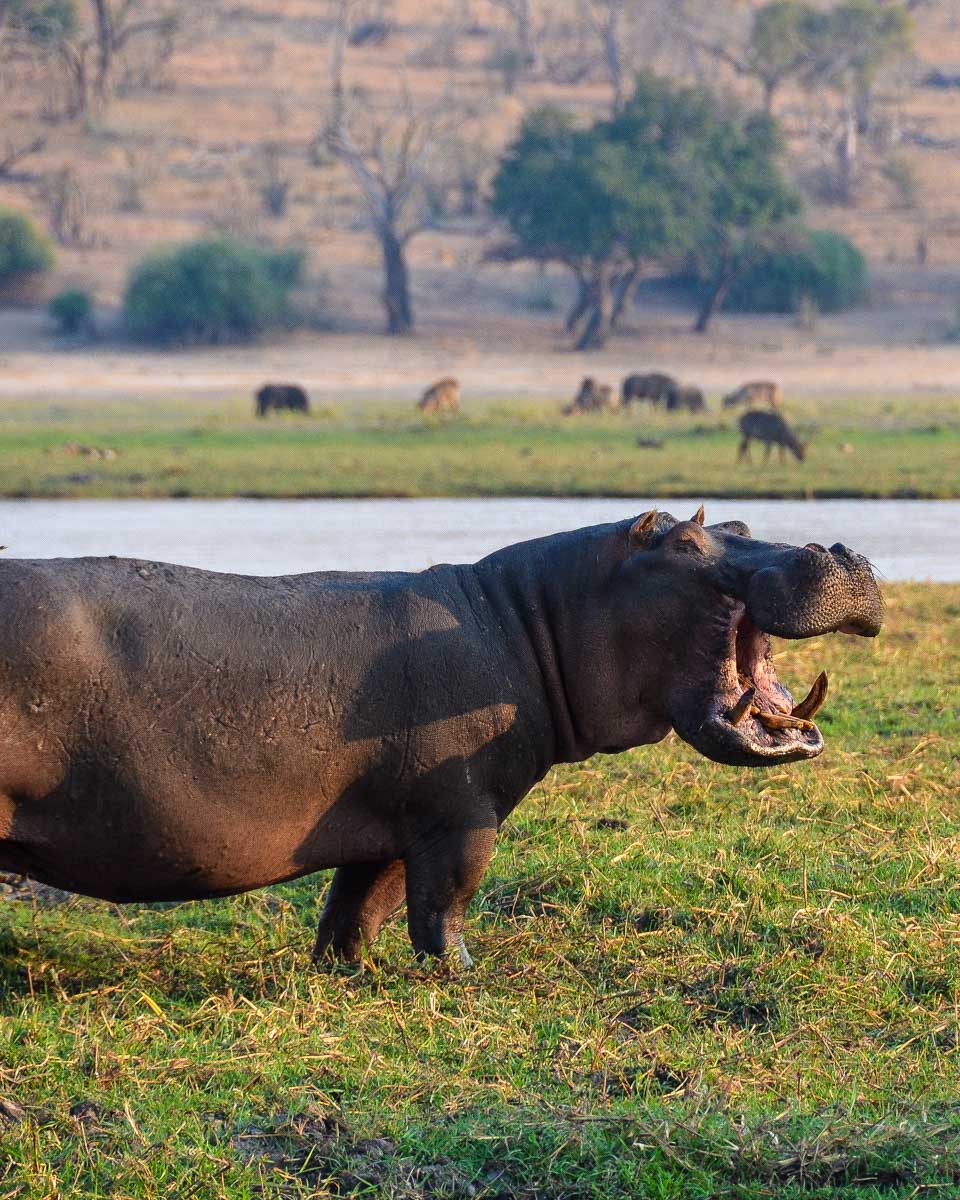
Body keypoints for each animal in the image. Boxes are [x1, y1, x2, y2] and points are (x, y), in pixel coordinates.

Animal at [0, 510, 881, 967]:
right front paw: (460, 977)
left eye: (737, 519)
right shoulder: (460, 816)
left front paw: (347, 975)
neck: (527, 616)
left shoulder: (388, 822)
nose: (838, 548)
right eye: (685, 539)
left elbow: (358, 908)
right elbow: (443, 903)